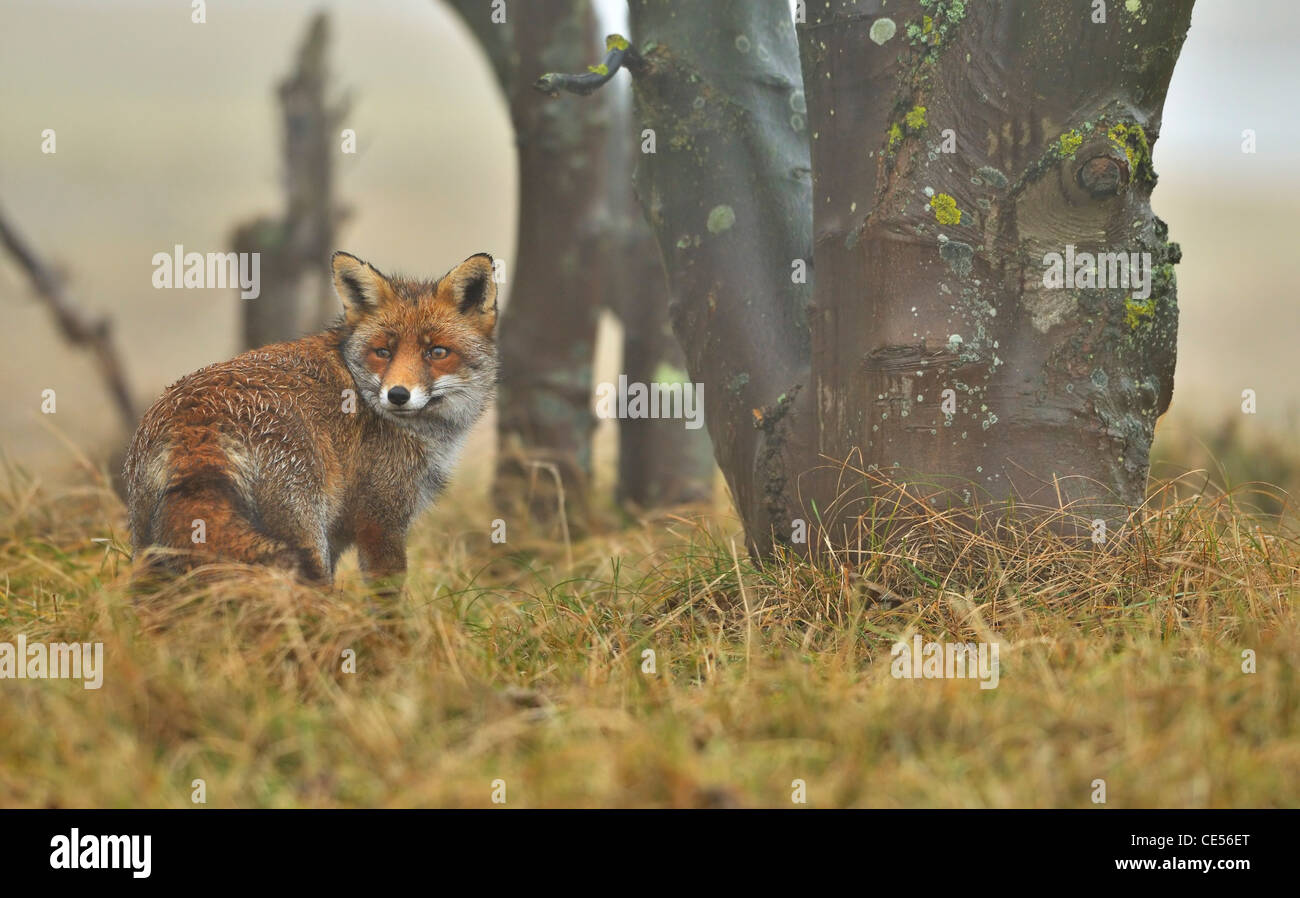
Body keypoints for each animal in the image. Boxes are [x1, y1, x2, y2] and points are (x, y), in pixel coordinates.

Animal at [122, 250, 496, 582]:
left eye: (437, 352)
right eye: (382, 352)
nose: (398, 395)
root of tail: (198, 420)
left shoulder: (340, 534)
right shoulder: (380, 523)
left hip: (147, 546)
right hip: (306, 538)